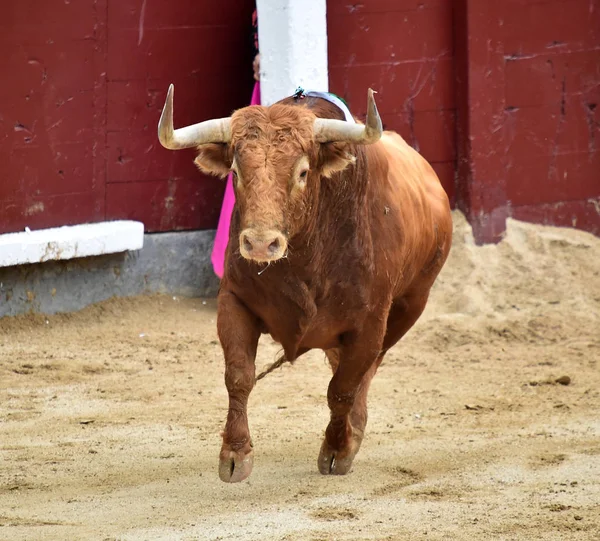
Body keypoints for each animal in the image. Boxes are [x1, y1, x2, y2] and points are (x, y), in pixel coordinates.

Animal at [157, 84, 452, 480]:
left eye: (302, 172)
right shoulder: (234, 301)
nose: (261, 244)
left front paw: (338, 450)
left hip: (411, 304)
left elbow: (342, 388)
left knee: (368, 370)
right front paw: (235, 454)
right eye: (235, 171)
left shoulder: (371, 322)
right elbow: (239, 376)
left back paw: (355, 428)